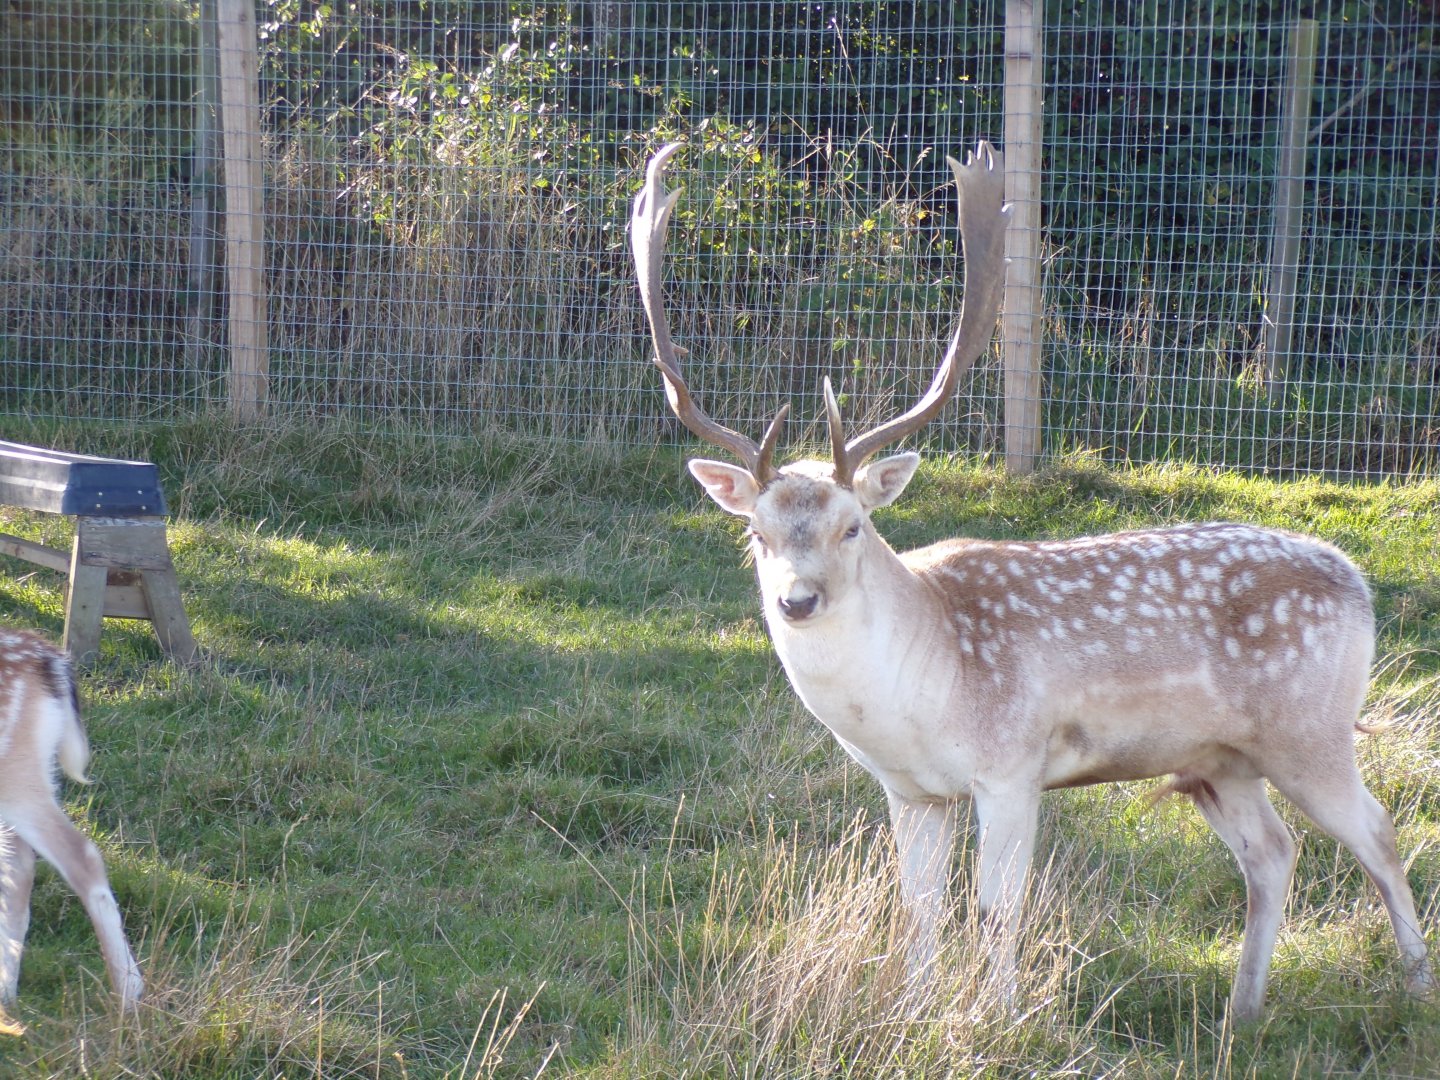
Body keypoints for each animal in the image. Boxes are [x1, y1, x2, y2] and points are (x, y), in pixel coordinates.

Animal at [629, 140, 1436, 1021]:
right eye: (757, 533)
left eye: (854, 526)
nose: (797, 599)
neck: (926, 686)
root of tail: (1357, 580)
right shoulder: (911, 792)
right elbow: (919, 908)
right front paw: (915, 1011)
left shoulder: (1013, 764)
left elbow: (998, 907)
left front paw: (1000, 1016)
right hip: (1221, 758)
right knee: (1273, 852)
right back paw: (1241, 1011)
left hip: (1309, 731)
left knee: (1379, 834)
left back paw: (1415, 987)